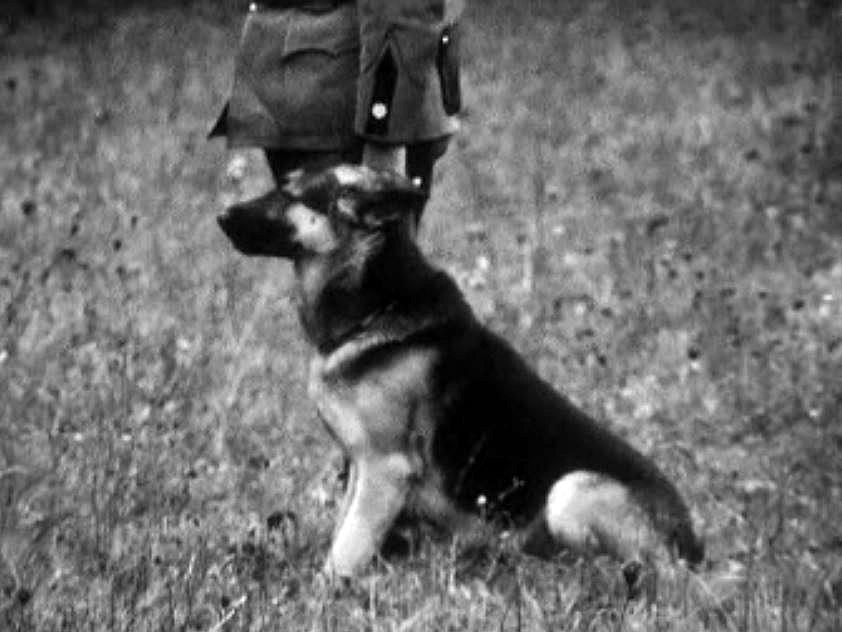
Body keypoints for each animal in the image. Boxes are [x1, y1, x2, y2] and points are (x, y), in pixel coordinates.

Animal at [217, 165, 704, 580]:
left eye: (291, 195)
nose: (220, 215)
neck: (377, 306)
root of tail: (694, 552)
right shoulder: (361, 467)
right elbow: (345, 530)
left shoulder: (384, 469)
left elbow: (346, 549)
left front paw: (326, 594)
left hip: (570, 491)